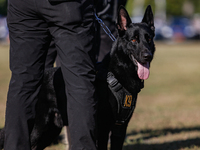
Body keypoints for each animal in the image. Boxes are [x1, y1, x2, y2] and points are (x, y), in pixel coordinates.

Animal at [0, 4, 155, 150]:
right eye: (133, 40)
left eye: (148, 39)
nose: (147, 56)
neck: (118, 73)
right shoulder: (103, 129)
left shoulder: (120, 129)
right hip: (39, 128)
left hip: (50, 131)